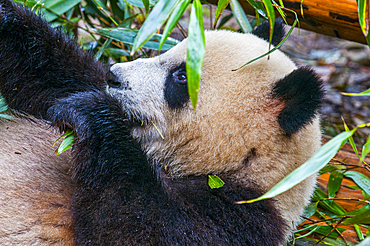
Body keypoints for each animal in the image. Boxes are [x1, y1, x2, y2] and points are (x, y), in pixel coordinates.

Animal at [0, 0, 322, 245]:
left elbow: (136, 227)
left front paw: (91, 112)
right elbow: (49, 78)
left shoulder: (243, 217)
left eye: (180, 76)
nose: (114, 76)